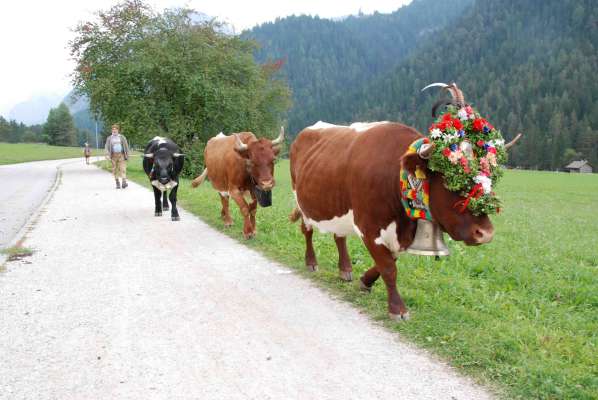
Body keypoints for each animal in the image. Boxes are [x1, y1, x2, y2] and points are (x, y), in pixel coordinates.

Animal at [290, 107, 520, 322]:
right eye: (450, 180)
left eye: (489, 180)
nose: (486, 233)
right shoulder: (369, 228)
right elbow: (388, 268)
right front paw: (397, 309)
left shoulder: (401, 234)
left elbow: (387, 262)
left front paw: (365, 281)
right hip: (300, 202)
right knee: (307, 231)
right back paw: (311, 262)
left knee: (340, 236)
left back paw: (345, 270)